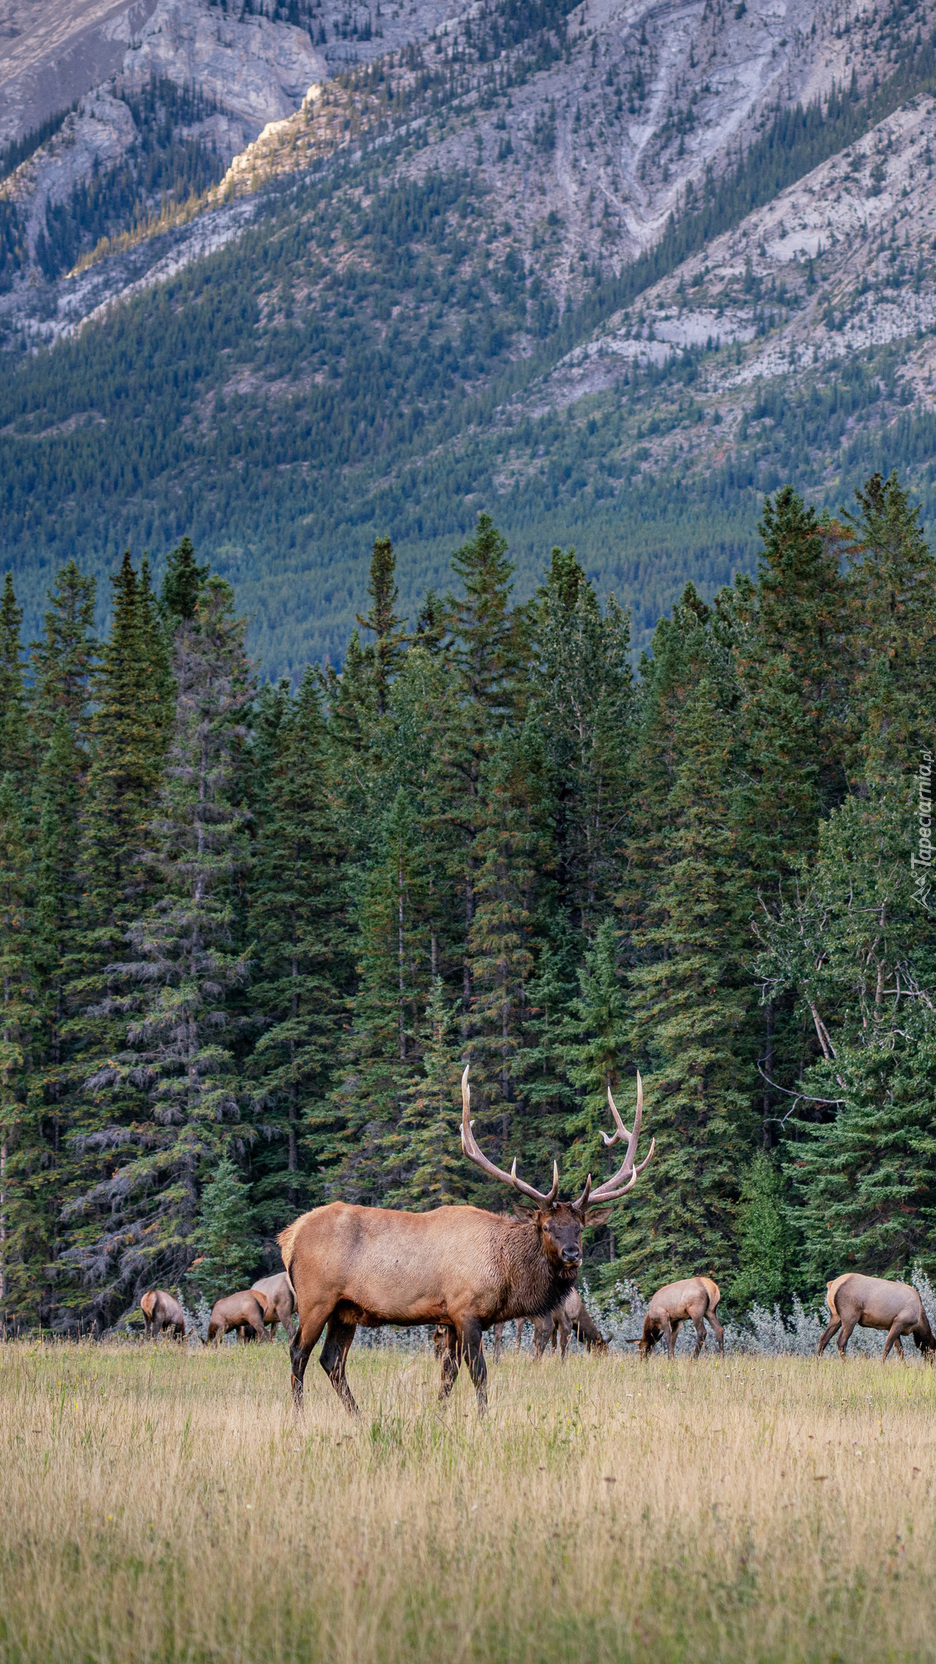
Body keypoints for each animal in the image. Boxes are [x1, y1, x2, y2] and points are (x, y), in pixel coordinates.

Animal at [273, 1064, 646, 1417]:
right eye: (546, 1226)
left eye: (580, 1227)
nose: (572, 1253)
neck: (506, 1272)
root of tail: (289, 1236)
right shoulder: (465, 1309)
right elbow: (478, 1372)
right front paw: (482, 1418)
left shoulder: (449, 1317)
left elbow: (448, 1374)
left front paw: (438, 1415)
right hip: (316, 1299)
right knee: (298, 1352)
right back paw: (299, 1415)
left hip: (346, 1309)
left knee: (332, 1360)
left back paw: (358, 1416)